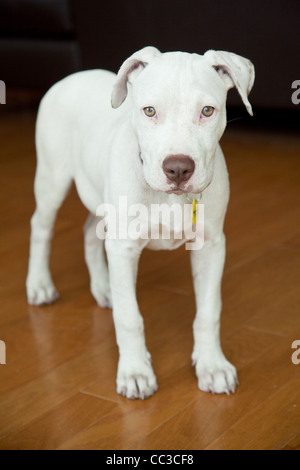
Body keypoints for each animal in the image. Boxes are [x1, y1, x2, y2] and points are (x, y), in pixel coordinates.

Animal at [27, 46, 254, 400]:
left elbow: (208, 312)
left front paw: (212, 365)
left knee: (89, 233)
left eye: (207, 111)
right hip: (52, 178)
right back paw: (39, 285)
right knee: (41, 226)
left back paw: (103, 287)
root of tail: (74, 75)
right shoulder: (124, 249)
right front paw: (135, 372)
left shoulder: (211, 245)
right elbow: (129, 317)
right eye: (149, 111)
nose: (178, 168)